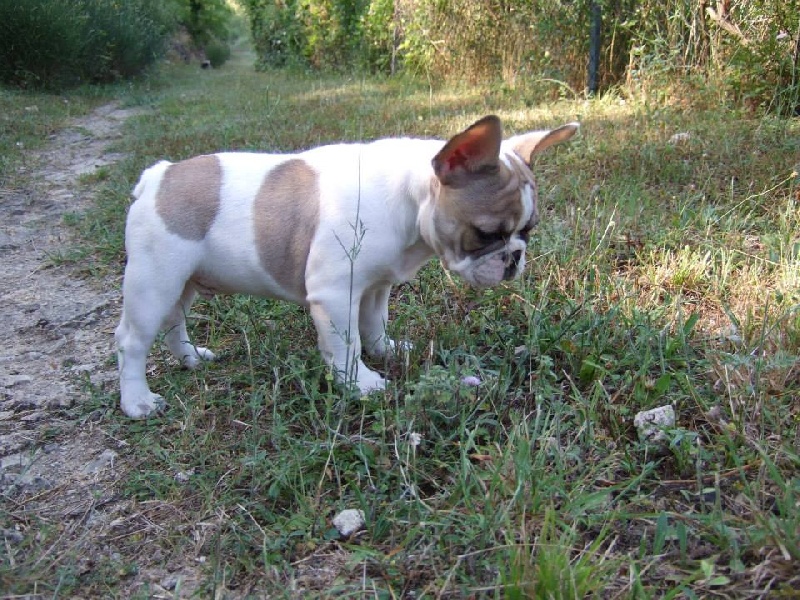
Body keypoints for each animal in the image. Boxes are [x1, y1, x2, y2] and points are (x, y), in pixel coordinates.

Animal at [115, 116, 580, 418]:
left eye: (528, 231)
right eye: (485, 234)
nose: (514, 257)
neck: (408, 200)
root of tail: (158, 177)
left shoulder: (376, 285)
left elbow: (373, 323)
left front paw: (386, 350)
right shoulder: (336, 293)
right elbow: (346, 343)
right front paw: (361, 384)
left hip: (183, 283)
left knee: (174, 323)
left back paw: (191, 358)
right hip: (153, 282)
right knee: (132, 341)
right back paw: (137, 401)